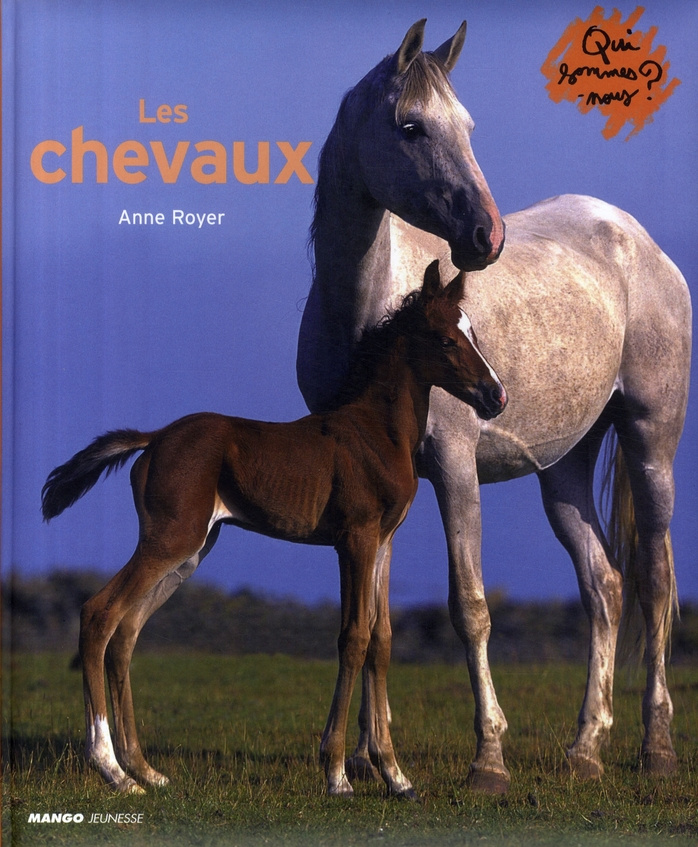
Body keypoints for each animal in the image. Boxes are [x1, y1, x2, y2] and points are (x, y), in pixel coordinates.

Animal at [41, 261, 507, 796]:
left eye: (473, 332)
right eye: (446, 339)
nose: (496, 396)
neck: (376, 431)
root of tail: (155, 438)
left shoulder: (384, 541)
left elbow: (382, 639)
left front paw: (396, 776)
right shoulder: (355, 539)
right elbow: (353, 637)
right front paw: (336, 773)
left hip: (190, 551)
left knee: (126, 633)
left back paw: (145, 769)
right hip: (169, 539)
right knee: (99, 615)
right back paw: (112, 769)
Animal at [296, 19, 692, 795]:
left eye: (469, 126)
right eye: (411, 126)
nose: (488, 236)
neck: (372, 321)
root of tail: (640, 241)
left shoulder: (454, 470)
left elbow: (470, 607)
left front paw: (488, 760)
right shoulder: (369, 487)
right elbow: (373, 619)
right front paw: (369, 756)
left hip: (649, 439)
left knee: (656, 582)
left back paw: (656, 748)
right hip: (564, 467)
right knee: (604, 584)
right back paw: (585, 748)